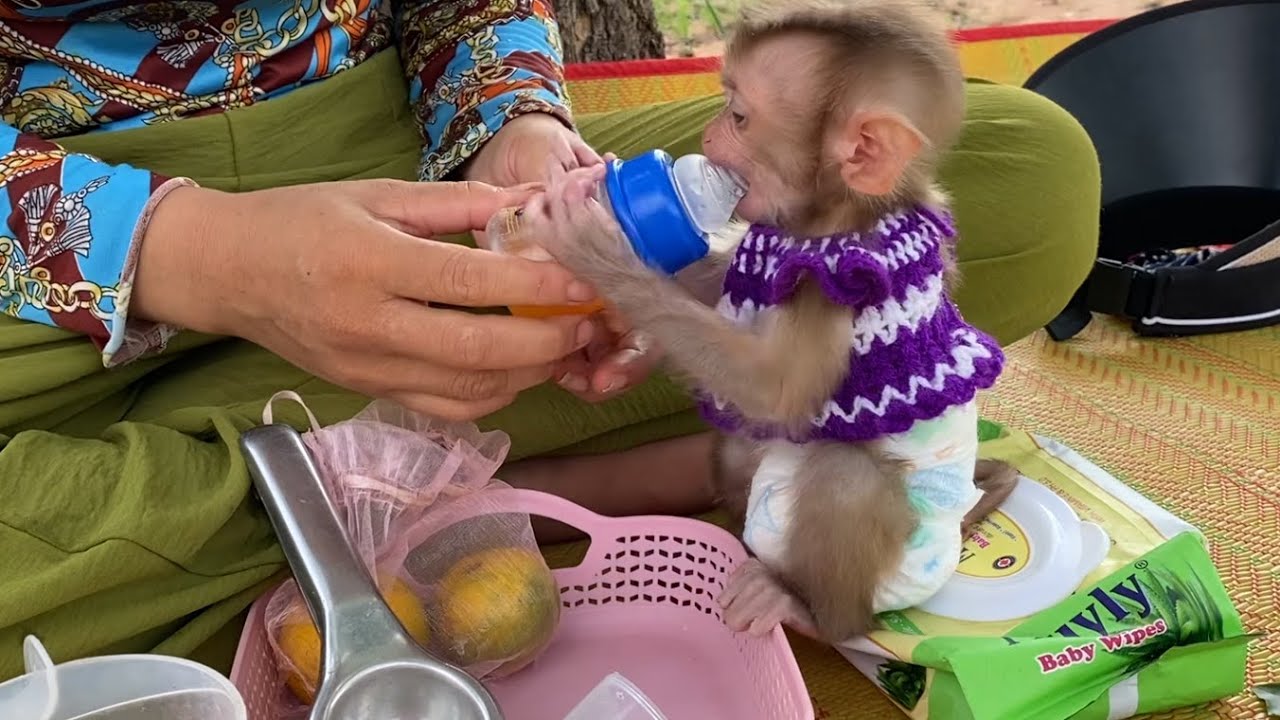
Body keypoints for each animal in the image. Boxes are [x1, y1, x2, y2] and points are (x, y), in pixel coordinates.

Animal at [512, 0, 1018, 644]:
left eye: (740, 116)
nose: (705, 137)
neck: (829, 222)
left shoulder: (833, 278)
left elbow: (777, 388)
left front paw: (598, 244)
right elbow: (718, 278)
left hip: (897, 570)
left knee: (843, 476)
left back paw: (805, 610)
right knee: (735, 450)